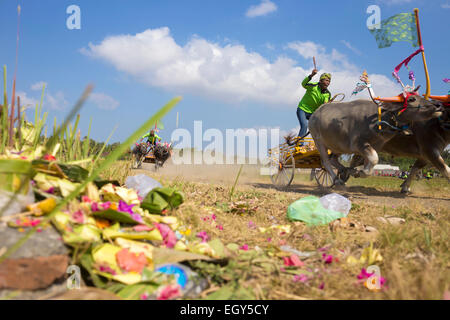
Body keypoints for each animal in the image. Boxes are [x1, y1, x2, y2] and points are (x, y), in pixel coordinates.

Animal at [310, 94, 442, 185]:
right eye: (412, 99)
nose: (438, 105)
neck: (379, 120)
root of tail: (314, 114)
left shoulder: (375, 146)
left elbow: (368, 163)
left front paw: (355, 171)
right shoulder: (359, 144)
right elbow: (374, 159)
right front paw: (360, 172)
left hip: (338, 146)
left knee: (333, 159)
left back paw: (343, 170)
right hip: (319, 142)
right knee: (325, 162)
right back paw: (337, 181)